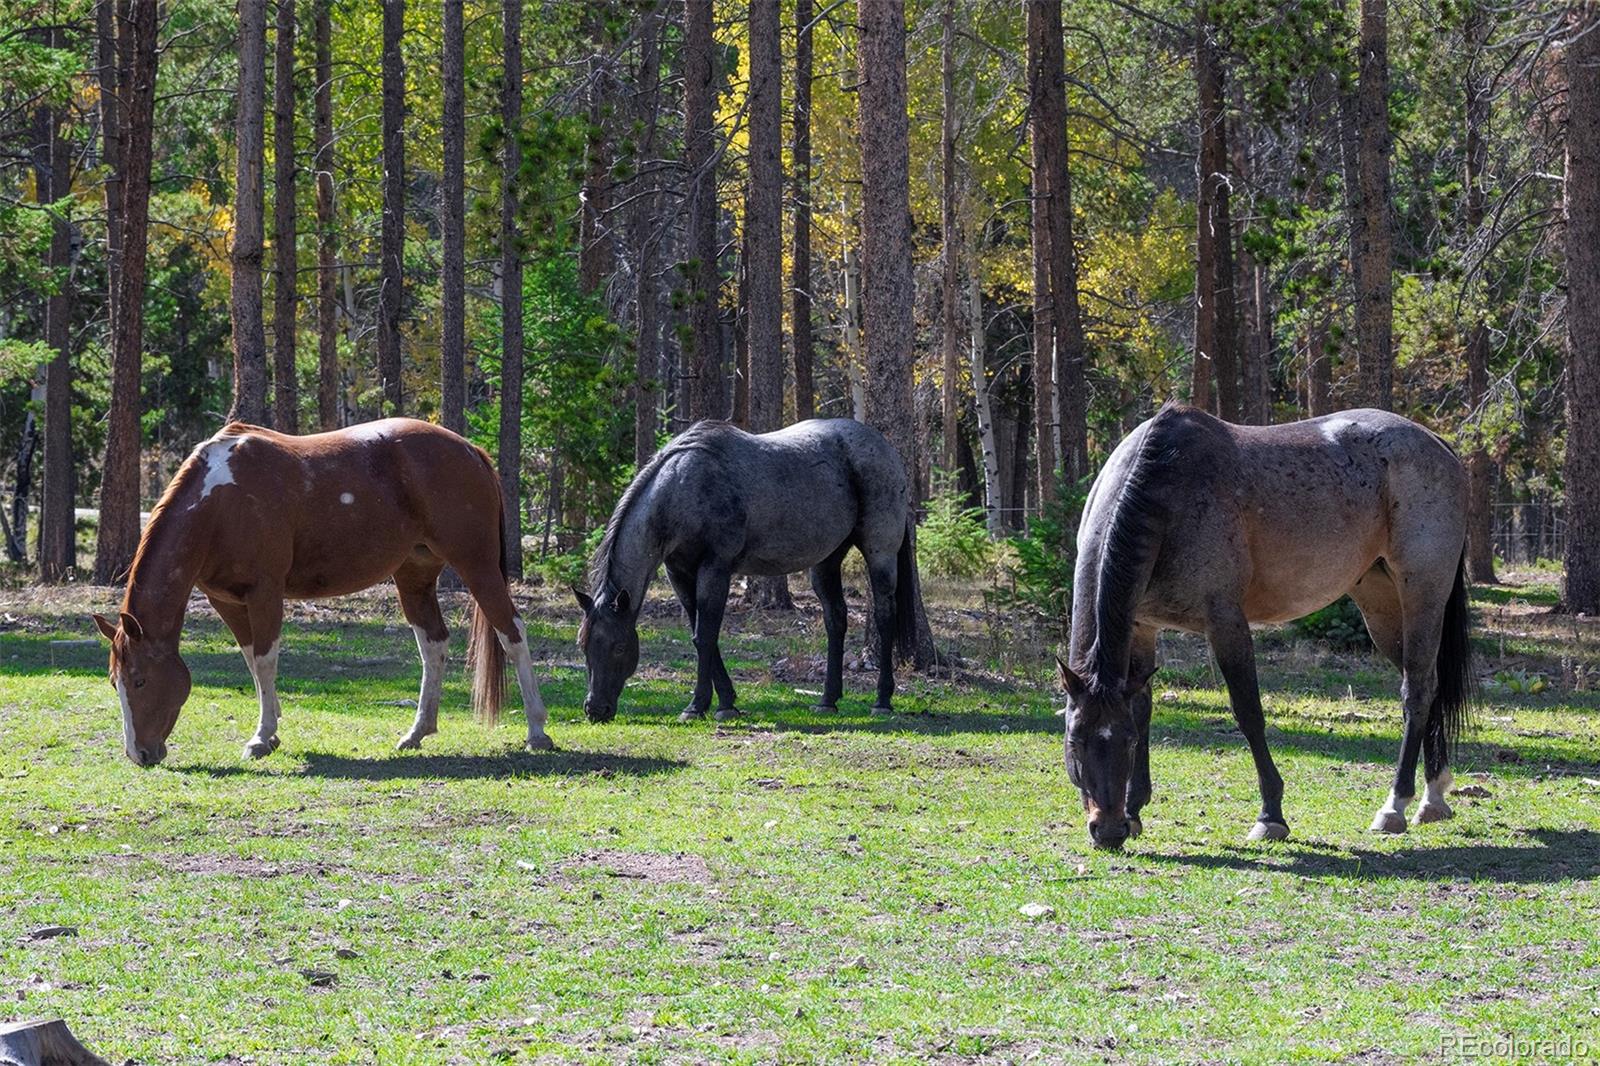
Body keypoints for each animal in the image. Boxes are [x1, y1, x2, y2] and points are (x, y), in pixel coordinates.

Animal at [91, 418, 554, 766]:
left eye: (140, 680)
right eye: (115, 682)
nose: (139, 754)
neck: (220, 502)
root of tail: (471, 451)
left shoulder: (265, 593)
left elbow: (265, 660)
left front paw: (262, 736)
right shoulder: (227, 600)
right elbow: (252, 660)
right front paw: (272, 726)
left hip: (478, 567)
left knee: (512, 634)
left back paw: (536, 730)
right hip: (414, 577)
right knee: (433, 645)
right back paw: (418, 732)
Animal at [576, 418, 916, 723]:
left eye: (620, 647)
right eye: (583, 645)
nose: (595, 710)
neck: (683, 488)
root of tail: (886, 448)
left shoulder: (715, 569)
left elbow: (705, 636)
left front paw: (697, 707)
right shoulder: (680, 575)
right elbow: (700, 633)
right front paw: (725, 702)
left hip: (880, 554)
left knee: (885, 615)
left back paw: (882, 701)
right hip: (826, 561)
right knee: (836, 620)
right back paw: (827, 700)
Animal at [1060, 404, 1473, 849]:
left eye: (1127, 743)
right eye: (1075, 741)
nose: (1108, 831)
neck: (1166, 492)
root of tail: (1436, 443)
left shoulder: (1226, 624)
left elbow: (1249, 714)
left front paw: (1270, 815)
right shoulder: (1141, 626)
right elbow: (1143, 709)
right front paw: (1136, 810)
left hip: (1422, 595)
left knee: (1417, 691)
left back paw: (1395, 805)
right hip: (1380, 606)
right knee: (1430, 684)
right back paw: (1433, 796)